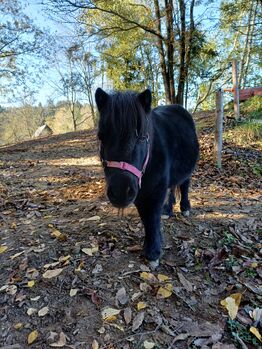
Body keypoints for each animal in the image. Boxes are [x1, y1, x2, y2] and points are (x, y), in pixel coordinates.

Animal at [95, 89, 200, 266]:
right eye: (101, 137)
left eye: (142, 137)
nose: (120, 192)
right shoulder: (139, 191)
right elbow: (145, 217)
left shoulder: (155, 190)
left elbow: (152, 217)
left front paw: (153, 253)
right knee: (172, 187)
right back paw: (168, 209)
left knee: (184, 184)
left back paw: (185, 208)